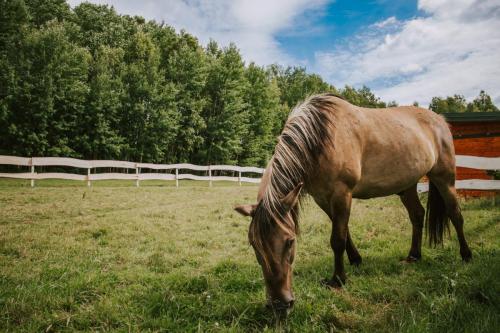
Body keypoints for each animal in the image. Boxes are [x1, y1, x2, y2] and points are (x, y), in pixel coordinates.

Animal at [234, 92, 472, 314]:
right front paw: (356, 260)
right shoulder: (323, 198)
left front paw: (338, 279)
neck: (319, 138)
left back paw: (466, 255)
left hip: (444, 178)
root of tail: (440, 120)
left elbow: (337, 238)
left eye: (290, 241)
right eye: (254, 245)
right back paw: (414, 256)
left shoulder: (341, 193)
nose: (280, 304)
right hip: (407, 186)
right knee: (417, 215)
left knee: (455, 214)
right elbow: (344, 231)